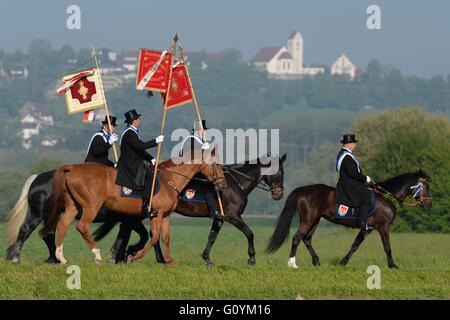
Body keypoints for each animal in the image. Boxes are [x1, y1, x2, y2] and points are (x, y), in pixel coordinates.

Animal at [4, 171, 163, 264]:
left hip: (52, 215)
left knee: (48, 234)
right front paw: (125, 255)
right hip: (40, 214)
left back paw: (54, 259)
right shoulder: (131, 219)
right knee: (26, 230)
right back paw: (16, 258)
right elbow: (142, 235)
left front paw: (122, 256)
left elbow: (135, 235)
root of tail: (36, 178)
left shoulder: (130, 220)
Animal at [41, 148, 225, 264]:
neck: (170, 179)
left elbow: (165, 238)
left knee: (63, 226)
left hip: (74, 207)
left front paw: (169, 260)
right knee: (82, 227)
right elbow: (155, 237)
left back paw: (61, 258)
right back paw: (97, 255)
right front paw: (133, 256)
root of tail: (72, 168)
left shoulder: (166, 215)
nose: (222, 184)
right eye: (216, 164)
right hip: (91, 207)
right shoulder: (156, 214)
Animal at [93, 154, 286, 266]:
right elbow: (250, 233)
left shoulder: (219, 217)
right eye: (279, 172)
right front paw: (252, 258)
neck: (235, 183)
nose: (279, 194)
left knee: (141, 232)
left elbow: (212, 237)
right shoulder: (233, 216)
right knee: (137, 231)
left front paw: (207, 259)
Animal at [268, 171, 432, 268]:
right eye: (425, 187)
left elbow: (355, 245)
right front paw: (393, 265)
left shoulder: (367, 229)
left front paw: (343, 262)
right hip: (307, 220)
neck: (386, 196)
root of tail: (303, 189)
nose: (429, 205)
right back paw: (292, 264)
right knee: (297, 238)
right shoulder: (383, 227)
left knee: (307, 239)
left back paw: (316, 262)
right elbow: (387, 246)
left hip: (315, 221)